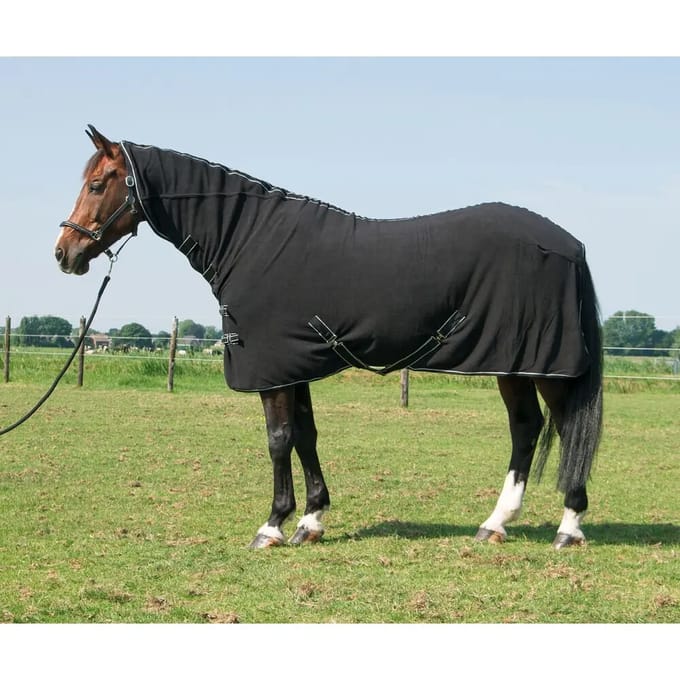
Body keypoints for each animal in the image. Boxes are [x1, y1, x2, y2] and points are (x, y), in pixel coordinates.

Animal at [55, 125, 603, 550]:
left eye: (98, 183)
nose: (64, 252)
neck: (251, 241)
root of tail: (570, 244)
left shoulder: (273, 370)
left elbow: (278, 440)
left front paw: (272, 526)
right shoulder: (293, 364)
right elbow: (305, 435)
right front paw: (311, 520)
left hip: (541, 364)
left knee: (561, 427)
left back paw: (568, 528)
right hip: (515, 365)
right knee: (527, 428)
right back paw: (495, 524)